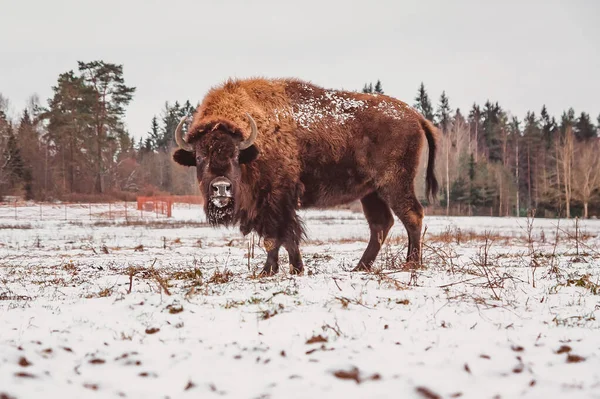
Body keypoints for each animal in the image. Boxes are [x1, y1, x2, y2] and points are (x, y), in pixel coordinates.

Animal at [171, 79, 438, 276]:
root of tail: (415, 115)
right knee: (381, 224)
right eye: (199, 157)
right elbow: (288, 238)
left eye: (236, 155)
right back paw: (360, 267)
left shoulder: (276, 199)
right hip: (371, 192)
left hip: (395, 184)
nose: (221, 188)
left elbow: (275, 237)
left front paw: (269, 271)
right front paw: (295, 269)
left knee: (412, 215)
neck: (253, 145)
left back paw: (411, 264)